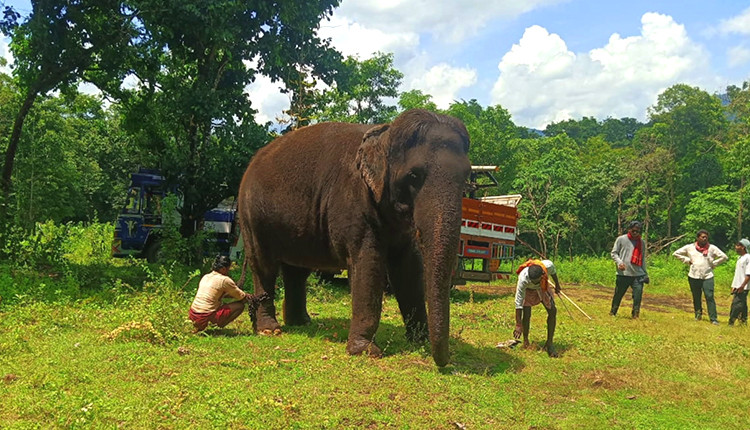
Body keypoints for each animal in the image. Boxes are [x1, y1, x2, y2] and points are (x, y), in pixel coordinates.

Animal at [236, 107, 470, 366]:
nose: (444, 363)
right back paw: (270, 329)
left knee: (297, 271)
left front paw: (420, 341)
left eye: (467, 176)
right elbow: (368, 264)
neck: (384, 133)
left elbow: (409, 268)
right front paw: (366, 351)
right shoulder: (352, 202)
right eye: (413, 176)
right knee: (264, 265)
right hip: (252, 216)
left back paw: (301, 323)